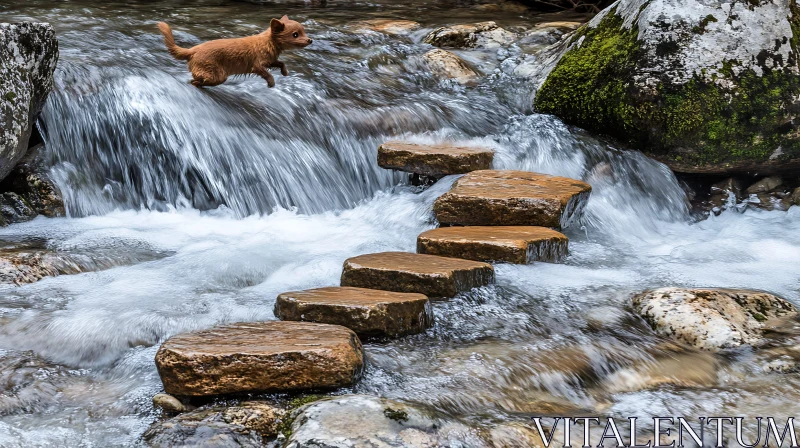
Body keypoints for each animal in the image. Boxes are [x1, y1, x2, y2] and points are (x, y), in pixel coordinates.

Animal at [159, 16, 312, 87]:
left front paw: (285, 72)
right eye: (295, 34)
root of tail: (192, 50)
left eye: (304, 31)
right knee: (201, 80)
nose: (310, 40)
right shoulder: (257, 64)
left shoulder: (270, 60)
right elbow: (265, 72)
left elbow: (280, 63)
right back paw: (197, 83)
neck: (268, 42)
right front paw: (271, 83)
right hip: (216, 74)